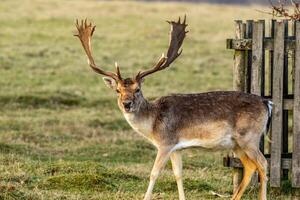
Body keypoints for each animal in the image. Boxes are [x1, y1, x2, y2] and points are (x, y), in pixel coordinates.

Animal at [74, 16, 272, 200]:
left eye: (137, 89)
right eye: (118, 90)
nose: (127, 104)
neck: (152, 125)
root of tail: (267, 103)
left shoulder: (165, 143)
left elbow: (154, 173)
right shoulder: (177, 148)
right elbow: (178, 174)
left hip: (249, 137)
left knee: (263, 163)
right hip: (237, 143)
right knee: (250, 166)